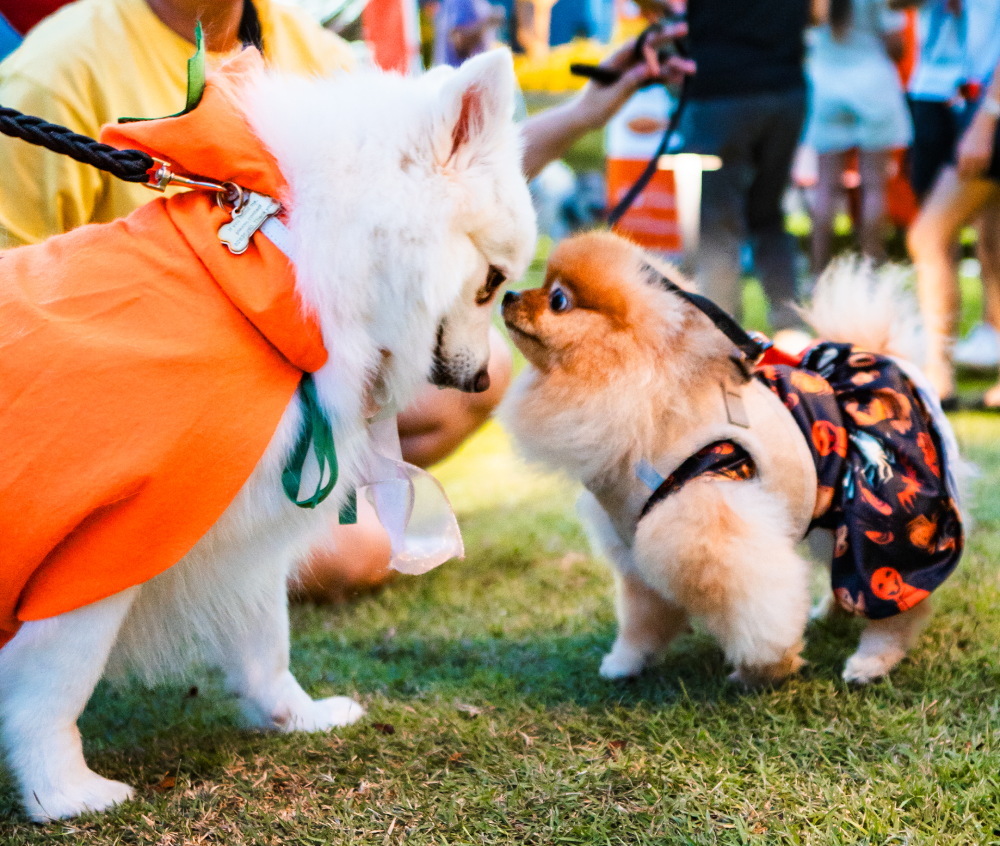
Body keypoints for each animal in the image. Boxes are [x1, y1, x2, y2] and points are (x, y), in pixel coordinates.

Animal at [0, 48, 540, 820]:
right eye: (491, 281)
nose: (480, 380)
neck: (281, 270)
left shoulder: (234, 523)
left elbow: (266, 641)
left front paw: (297, 716)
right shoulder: (104, 545)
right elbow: (55, 687)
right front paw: (64, 792)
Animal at [504, 232, 964, 688]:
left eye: (558, 300)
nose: (507, 293)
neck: (651, 403)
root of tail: (885, 360)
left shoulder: (704, 523)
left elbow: (755, 606)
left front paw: (765, 667)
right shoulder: (634, 539)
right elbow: (642, 615)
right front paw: (626, 661)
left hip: (885, 514)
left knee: (898, 594)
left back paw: (872, 660)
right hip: (838, 514)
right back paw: (832, 613)